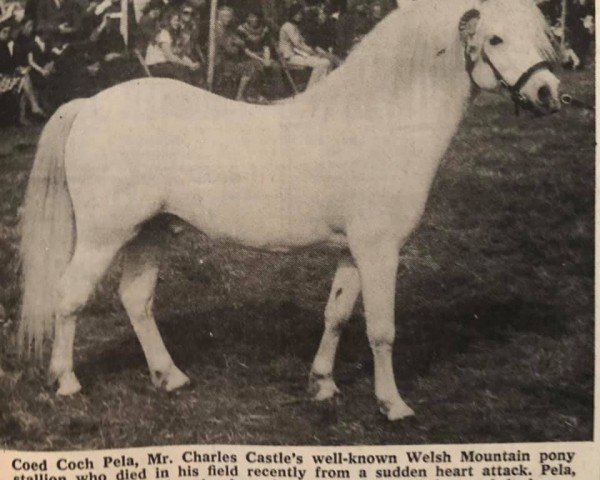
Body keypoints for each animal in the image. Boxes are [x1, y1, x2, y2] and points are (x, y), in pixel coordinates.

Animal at [19, 0, 564, 420]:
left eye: (539, 37)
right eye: (495, 38)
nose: (549, 94)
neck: (380, 122)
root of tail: (89, 104)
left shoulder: (354, 251)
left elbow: (337, 314)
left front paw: (322, 385)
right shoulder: (380, 250)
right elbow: (382, 330)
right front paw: (393, 405)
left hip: (150, 230)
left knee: (136, 299)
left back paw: (170, 377)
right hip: (104, 236)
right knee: (69, 296)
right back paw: (66, 382)